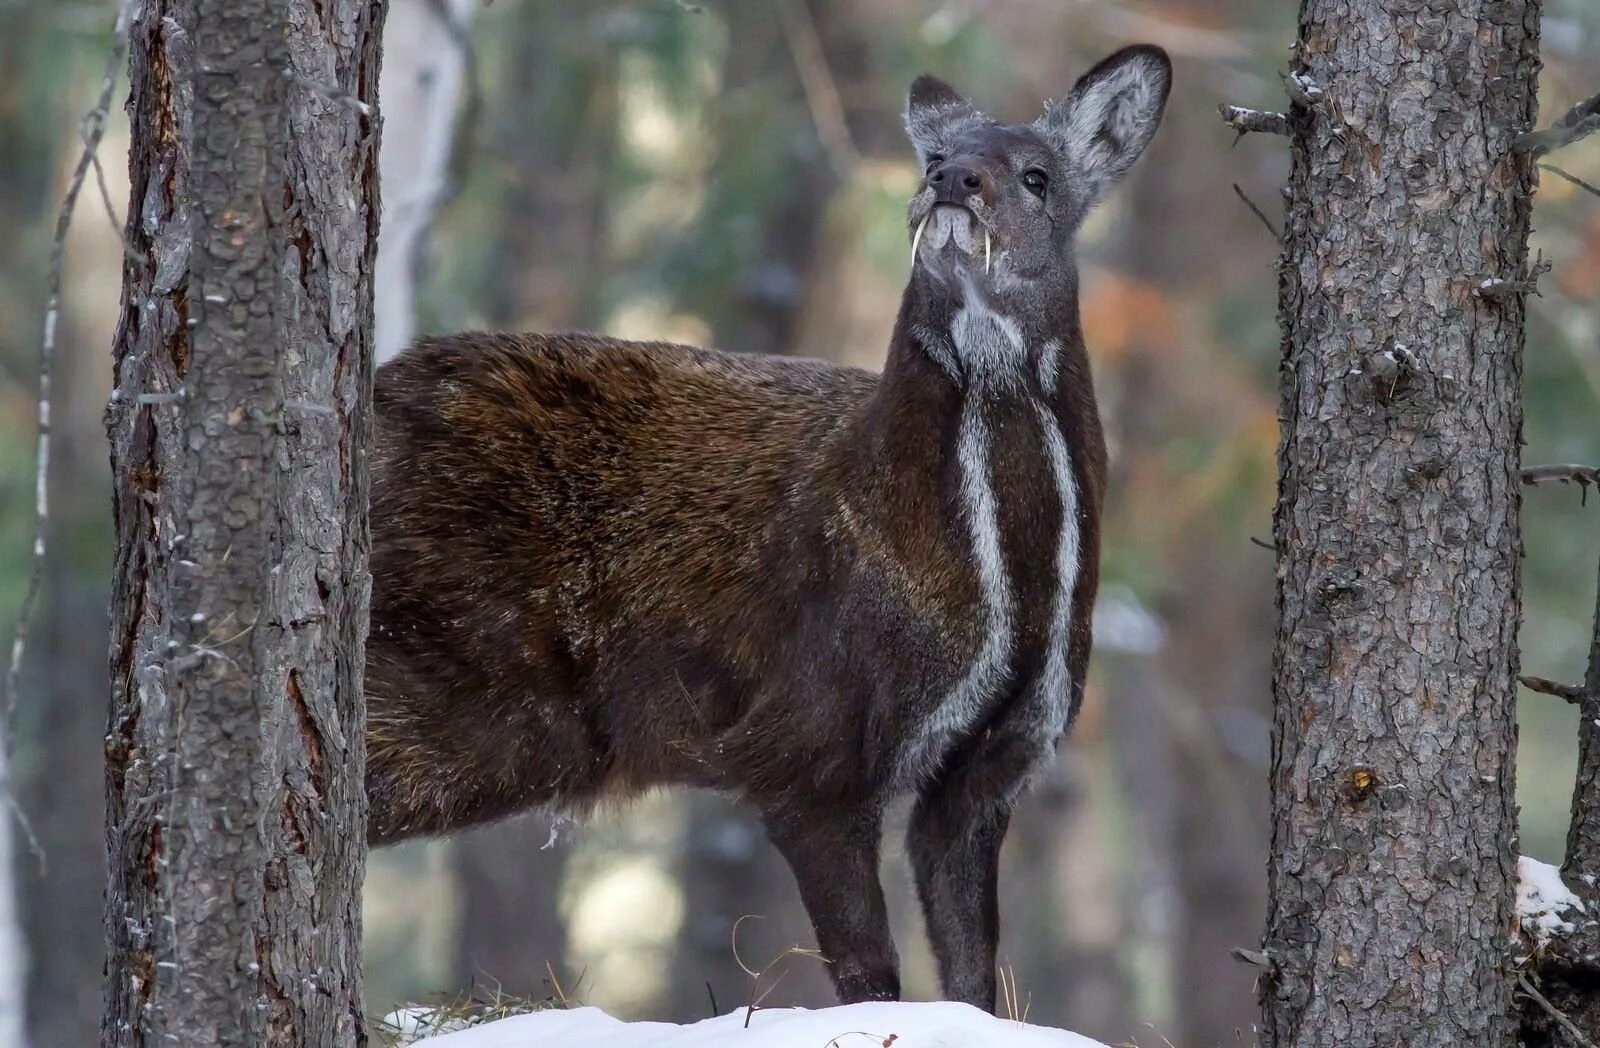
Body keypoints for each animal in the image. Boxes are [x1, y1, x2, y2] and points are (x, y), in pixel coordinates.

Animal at [368, 43, 1171, 1017]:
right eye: (933, 157)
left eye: (1038, 175)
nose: (951, 180)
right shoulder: (805, 738)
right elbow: (869, 975)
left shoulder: (996, 760)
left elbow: (973, 971)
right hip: (463, 682)